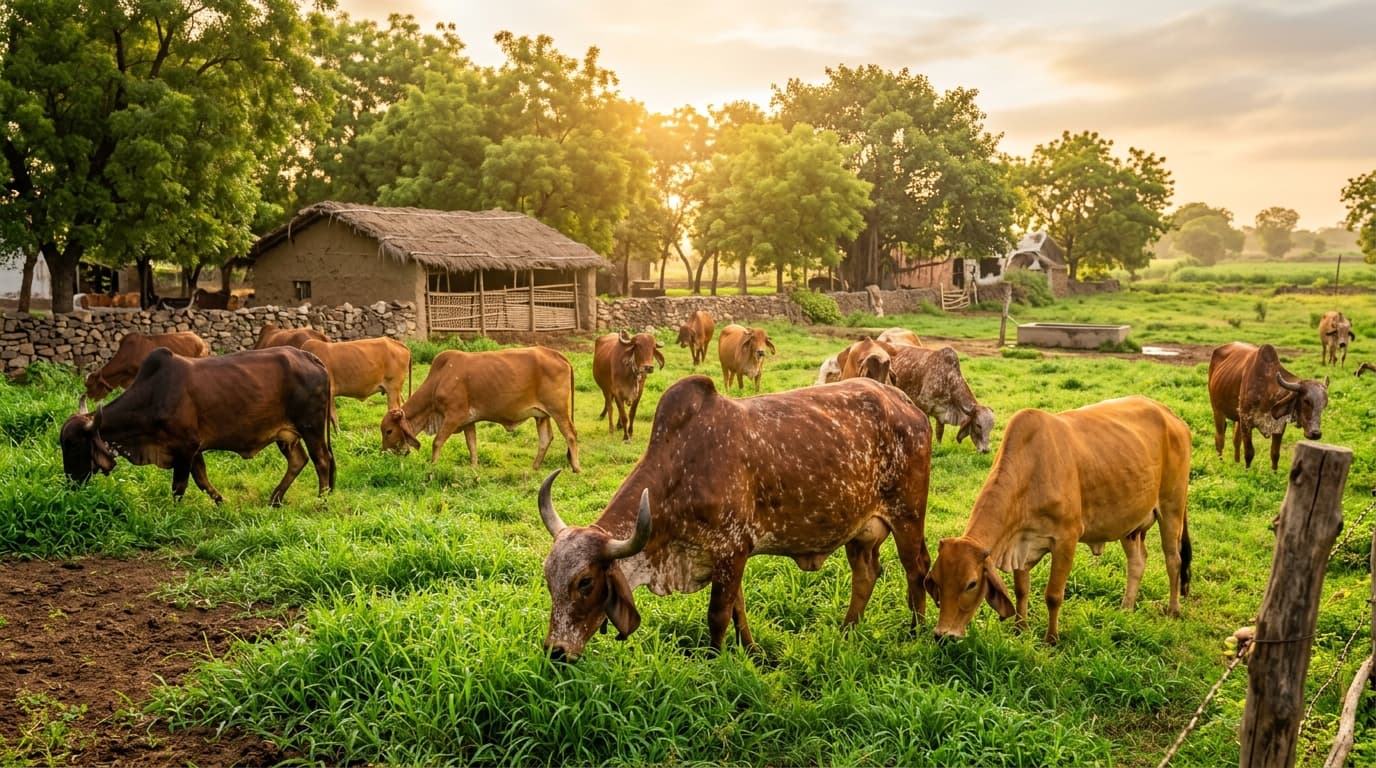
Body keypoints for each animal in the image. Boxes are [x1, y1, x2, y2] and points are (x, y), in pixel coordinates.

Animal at [60, 346, 335, 506]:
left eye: (73, 445)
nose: (71, 483)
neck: (153, 395)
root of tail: (311, 357)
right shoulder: (194, 449)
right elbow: (202, 480)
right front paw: (222, 502)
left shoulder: (186, 447)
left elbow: (179, 486)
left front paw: (173, 513)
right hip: (285, 434)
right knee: (299, 461)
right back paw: (275, 499)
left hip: (310, 426)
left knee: (322, 459)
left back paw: (321, 500)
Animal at [380, 346, 580, 473]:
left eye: (389, 431)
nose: (384, 454)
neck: (439, 379)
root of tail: (557, 354)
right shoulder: (468, 421)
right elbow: (472, 446)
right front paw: (474, 469)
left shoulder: (454, 416)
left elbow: (437, 442)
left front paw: (432, 467)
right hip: (542, 415)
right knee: (546, 438)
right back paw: (535, 467)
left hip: (559, 410)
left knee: (570, 434)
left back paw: (576, 467)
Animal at [538, 375, 933, 661]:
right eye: (548, 579)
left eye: (585, 582)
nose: (556, 651)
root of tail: (906, 403)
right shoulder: (727, 556)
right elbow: (737, 609)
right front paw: (752, 652)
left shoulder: (731, 549)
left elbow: (718, 615)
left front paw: (714, 663)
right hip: (860, 531)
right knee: (866, 574)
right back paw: (847, 632)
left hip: (908, 515)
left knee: (917, 570)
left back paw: (914, 634)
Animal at [925, 396, 1192, 644]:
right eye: (936, 579)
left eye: (971, 584)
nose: (943, 635)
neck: (1032, 470)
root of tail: (1171, 416)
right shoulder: (1021, 544)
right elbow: (1021, 590)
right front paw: (1020, 629)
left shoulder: (1066, 539)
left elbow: (1053, 595)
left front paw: (1051, 639)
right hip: (1129, 522)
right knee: (1137, 561)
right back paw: (1126, 608)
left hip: (1172, 507)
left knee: (1173, 560)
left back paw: (1173, 609)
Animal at [1207, 342, 1328, 471]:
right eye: (1306, 401)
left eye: (1324, 404)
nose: (1316, 433)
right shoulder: (1246, 421)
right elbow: (1249, 453)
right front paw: (1247, 471)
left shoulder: (1279, 426)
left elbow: (1275, 454)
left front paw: (1274, 472)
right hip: (1217, 411)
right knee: (1220, 439)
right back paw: (1220, 462)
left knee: (1236, 440)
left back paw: (1237, 462)